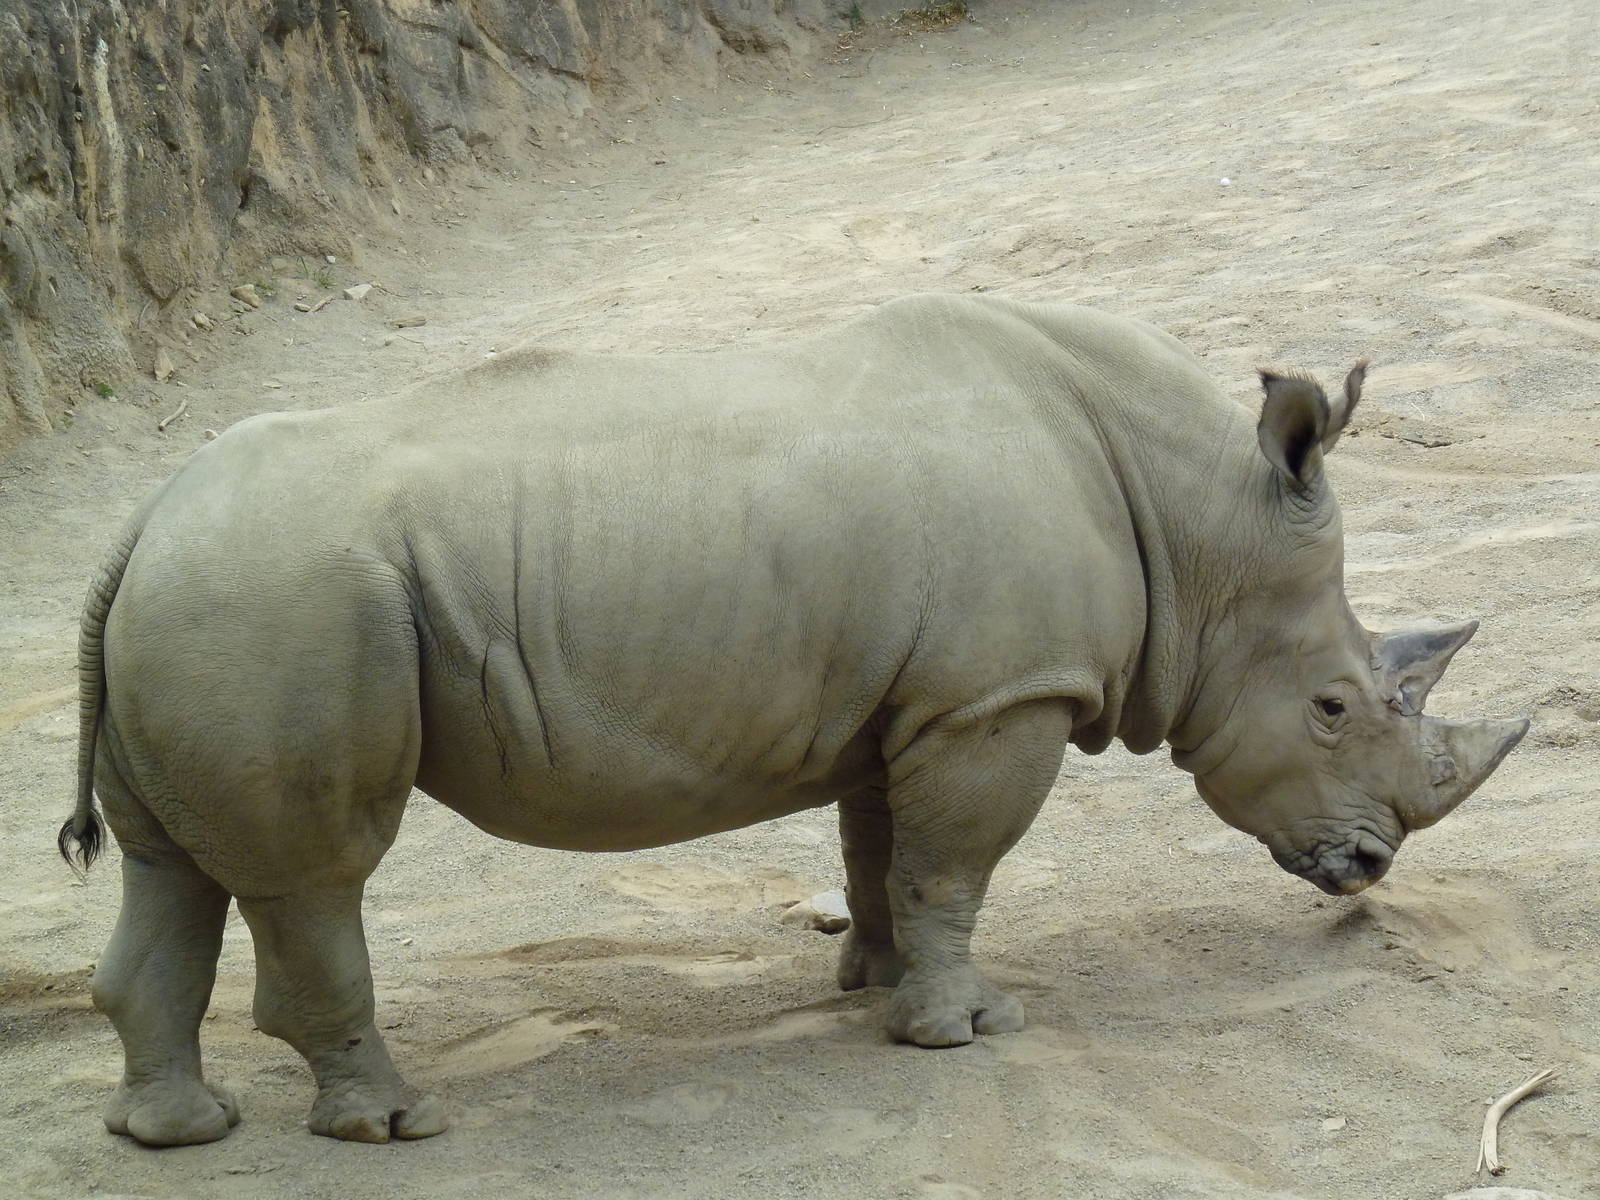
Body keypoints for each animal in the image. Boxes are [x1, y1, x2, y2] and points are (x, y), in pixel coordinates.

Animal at [58, 294, 1527, 1146]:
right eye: (1334, 706)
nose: (1369, 866)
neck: (1198, 525)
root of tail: (137, 526)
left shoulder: (919, 697)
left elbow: (881, 849)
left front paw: (868, 986)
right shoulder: (998, 695)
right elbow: (952, 866)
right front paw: (962, 1033)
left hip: (214, 605)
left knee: (172, 868)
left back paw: (181, 1133)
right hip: (284, 605)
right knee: (317, 873)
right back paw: (394, 1124)